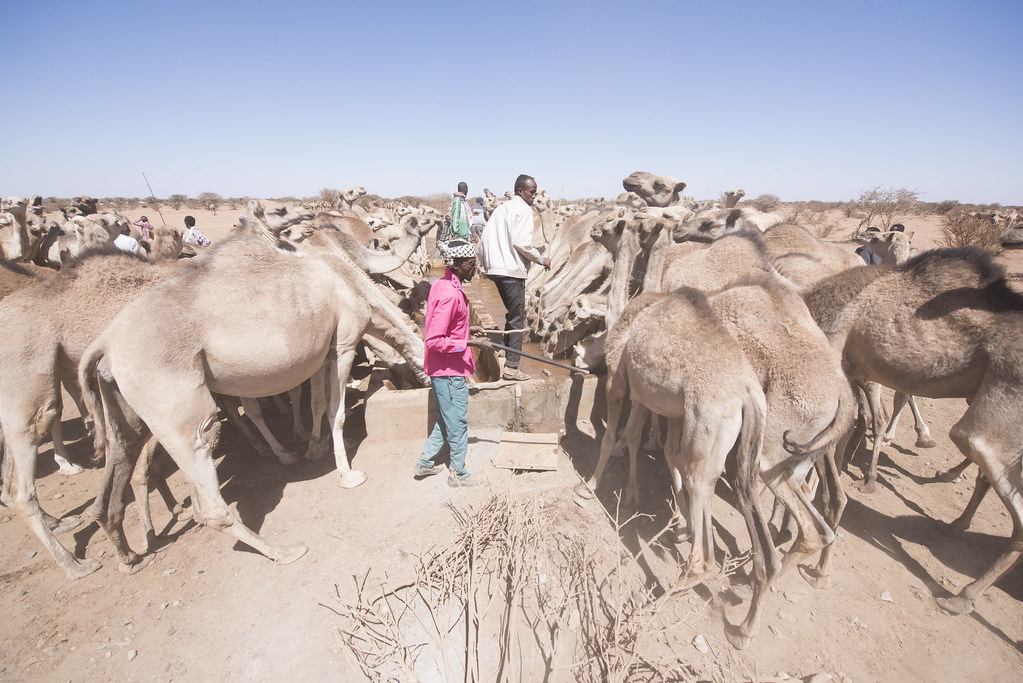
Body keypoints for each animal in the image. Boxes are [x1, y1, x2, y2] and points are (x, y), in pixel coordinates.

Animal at [79, 232, 427, 572]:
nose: (420, 381)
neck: (351, 282)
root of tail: (104, 344)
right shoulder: (342, 343)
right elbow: (335, 411)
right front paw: (348, 473)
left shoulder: (320, 352)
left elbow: (316, 402)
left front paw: (314, 448)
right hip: (177, 406)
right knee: (210, 494)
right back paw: (284, 551)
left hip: (124, 407)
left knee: (123, 457)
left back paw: (130, 553)